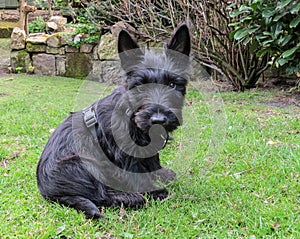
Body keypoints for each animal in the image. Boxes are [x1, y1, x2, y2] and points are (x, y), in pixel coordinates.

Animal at [37, 23, 190, 218]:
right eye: (140, 86)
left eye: (172, 84)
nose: (158, 119)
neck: (131, 114)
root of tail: (49, 192)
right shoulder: (125, 154)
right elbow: (136, 174)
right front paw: (153, 190)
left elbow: (152, 161)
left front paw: (161, 174)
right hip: (84, 162)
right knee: (102, 196)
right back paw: (134, 198)